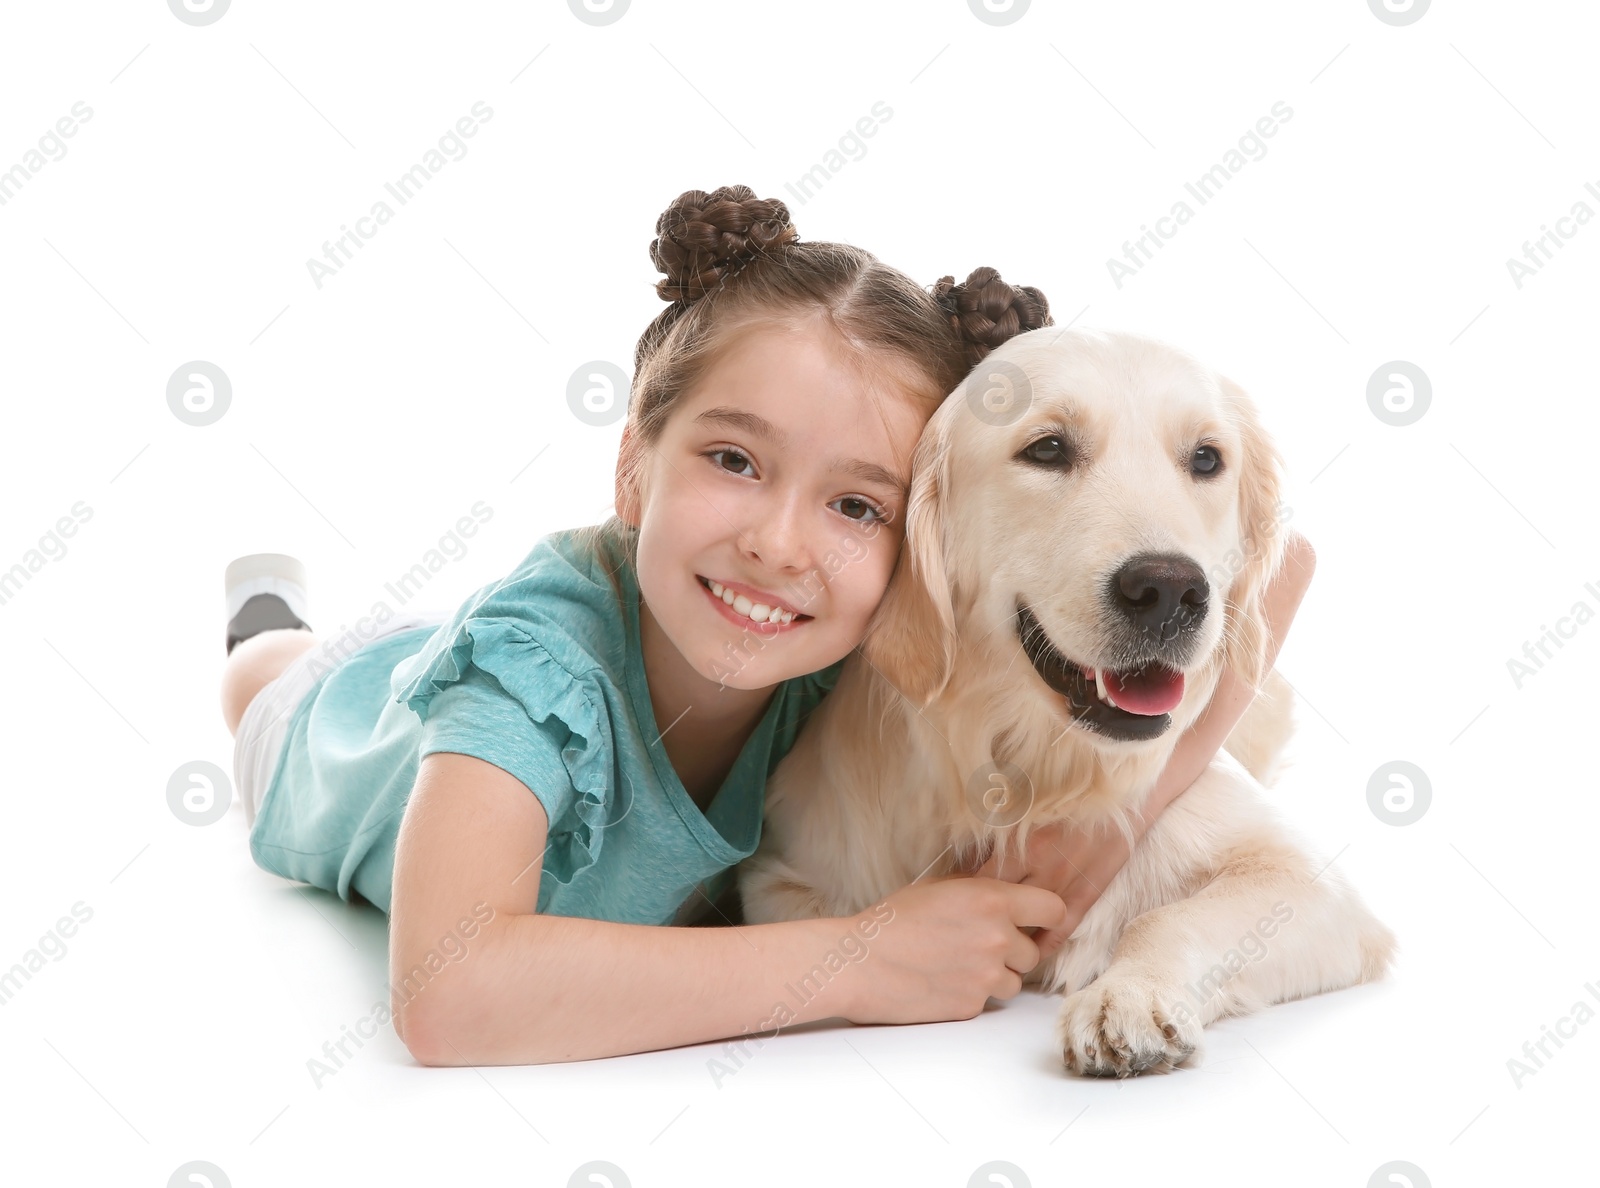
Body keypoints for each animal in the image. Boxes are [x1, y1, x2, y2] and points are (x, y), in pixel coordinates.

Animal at [742, 325, 1395, 1082]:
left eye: (1207, 458)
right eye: (1047, 448)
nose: (1170, 590)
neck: (1035, 773)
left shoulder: (1314, 885)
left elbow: (1166, 916)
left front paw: (1128, 996)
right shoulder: (778, 882)